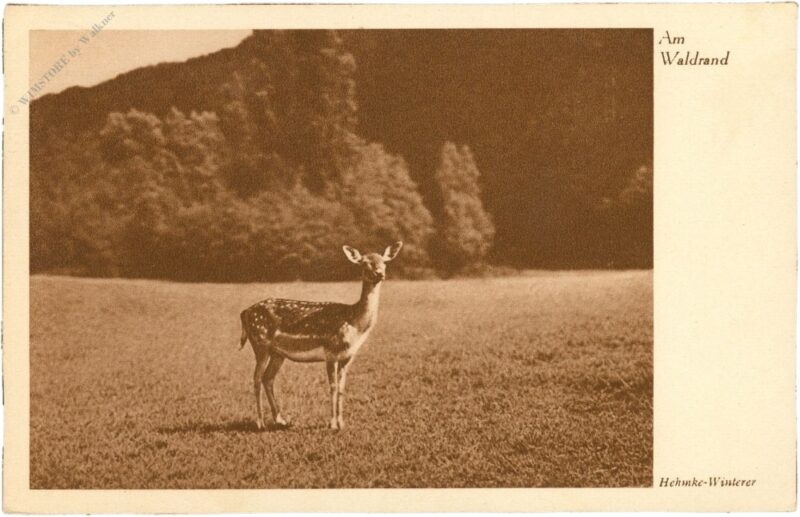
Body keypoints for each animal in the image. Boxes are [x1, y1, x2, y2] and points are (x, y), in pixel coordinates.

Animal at [239, 241, 403, 430]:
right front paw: (332, 423)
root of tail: (245, 313)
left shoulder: (347, 356)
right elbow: (332, 386)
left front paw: (342, 423)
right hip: (260, 343)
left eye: (384, 261)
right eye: (364, 263)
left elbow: (341, 388)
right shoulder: (330, 351)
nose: (380, 273)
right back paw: (260, 423)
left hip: (277, 353)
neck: (354, 324)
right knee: (257, 378)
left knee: (268, 378)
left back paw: (281, 419)